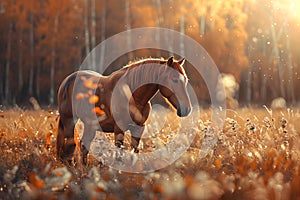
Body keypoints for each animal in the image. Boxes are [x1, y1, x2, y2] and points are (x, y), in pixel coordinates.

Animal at [56, 55, 192, 164]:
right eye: (174, 80)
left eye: (185, 80)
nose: (187, 109)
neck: (133, 96)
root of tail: (67, 81)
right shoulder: (119, 128)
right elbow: (119, 154)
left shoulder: (138, 128)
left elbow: (135, 151)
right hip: (69, 121)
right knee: (70, 145)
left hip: (90, 125)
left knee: (84, 146)